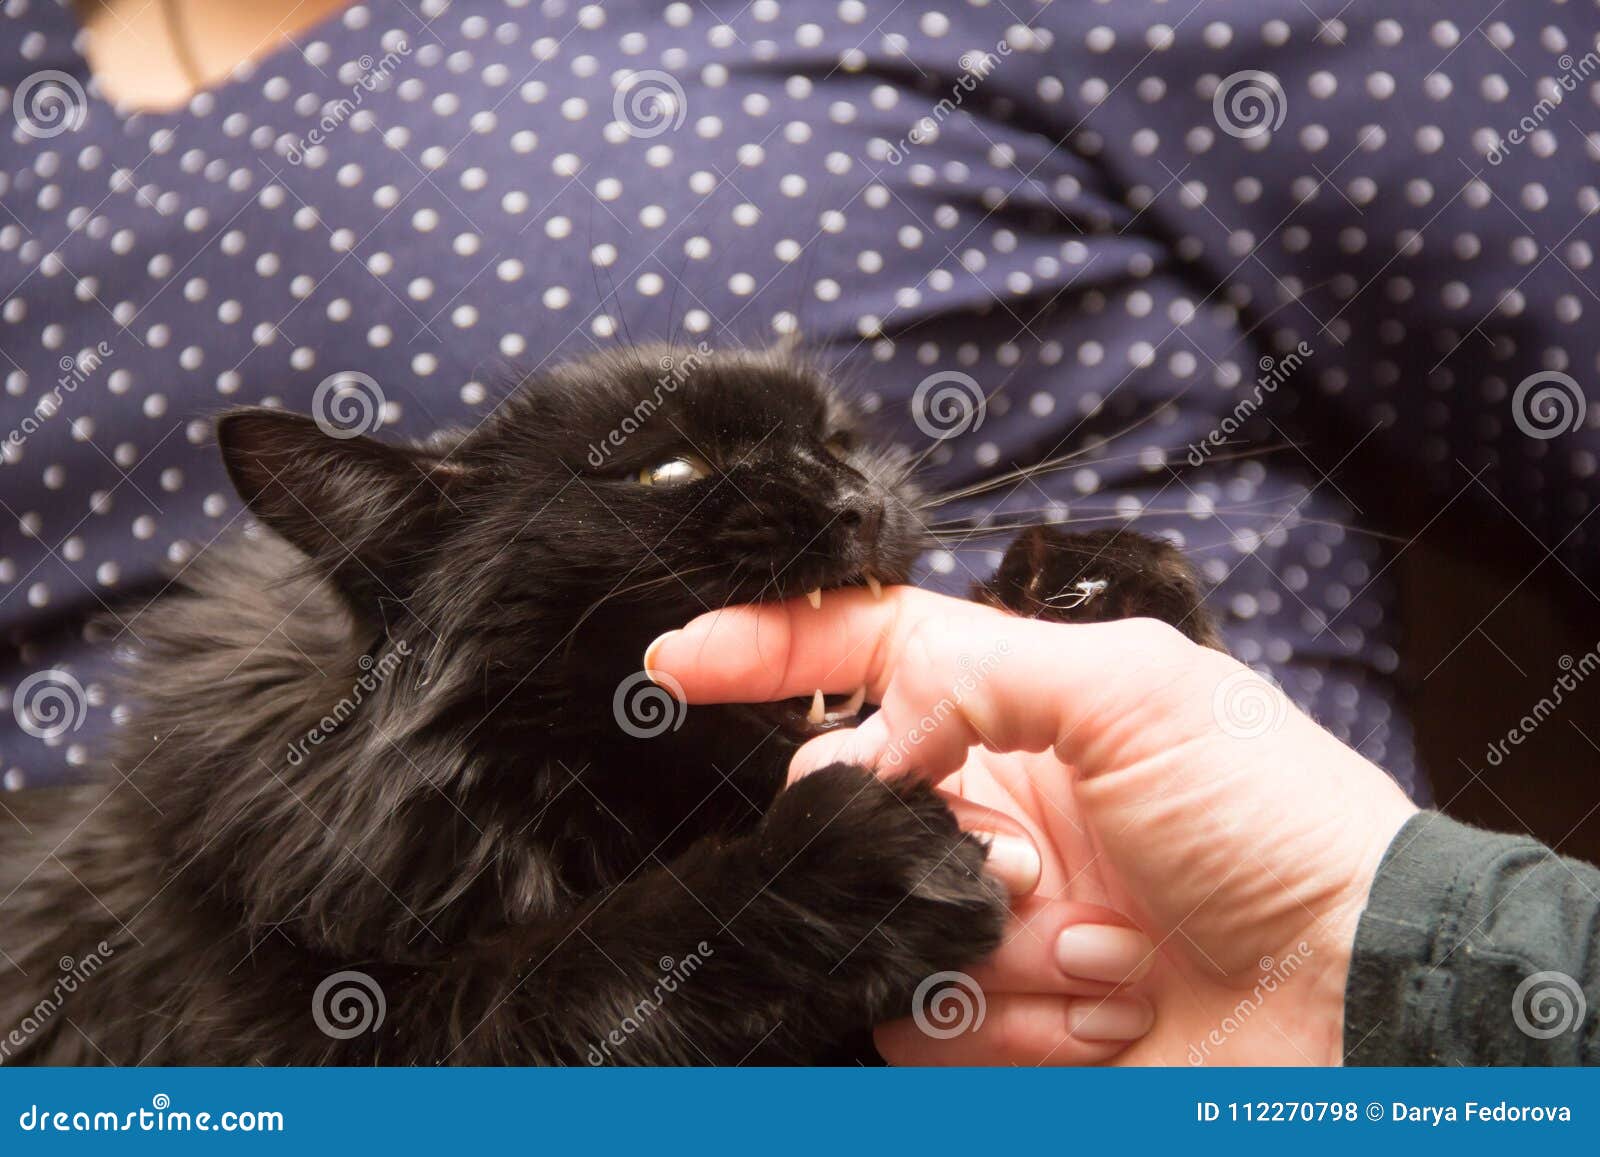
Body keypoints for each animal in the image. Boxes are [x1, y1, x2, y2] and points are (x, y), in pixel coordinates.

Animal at [0, 345, 1209, 1068]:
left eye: (834, 442)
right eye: (669, 472)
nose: (857, 499)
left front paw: (1093, 592)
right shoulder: (323, 1036)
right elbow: (574, 967)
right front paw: (834, 870)